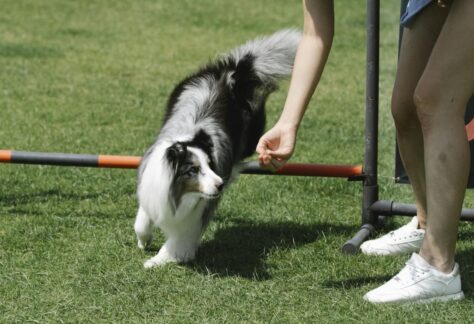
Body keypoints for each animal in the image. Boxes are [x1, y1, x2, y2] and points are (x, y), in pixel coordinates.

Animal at [135, 29, 302, 268]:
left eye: (210, 165)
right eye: (193, 170)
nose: (220, 184)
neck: (177, 192)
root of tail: (230, 72)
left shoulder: (196, 214)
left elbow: (178, 241)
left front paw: (156, 260)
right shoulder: (151, 187)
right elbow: (141, 221)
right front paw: (143, 241)